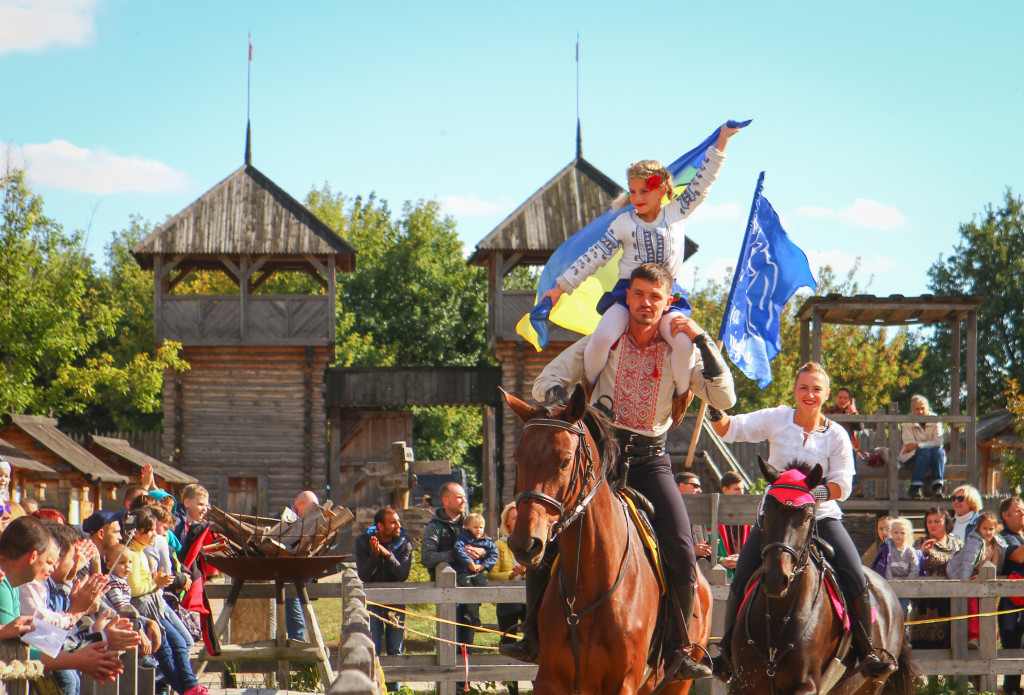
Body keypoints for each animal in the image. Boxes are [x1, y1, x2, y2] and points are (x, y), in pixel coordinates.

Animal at [501, 388, 708, 691]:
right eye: (518, 457)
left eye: (565, 460)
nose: (525, 543)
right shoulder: (550, 680)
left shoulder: (623, 683)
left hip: (675, 684)